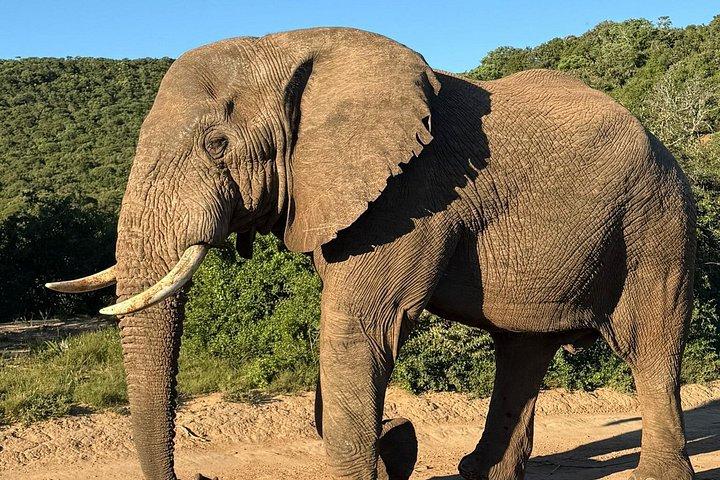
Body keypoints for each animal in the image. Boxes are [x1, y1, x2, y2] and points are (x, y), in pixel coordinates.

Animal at [46, 28, 696, 480]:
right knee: (522, 350)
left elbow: (357, 329)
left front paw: (388, 450)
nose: (194, 475)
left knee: (650, 342)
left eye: (217, 144)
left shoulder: (414, 193)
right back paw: (479, 473)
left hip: (657, 222)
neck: (290, 48)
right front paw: (393, 451)